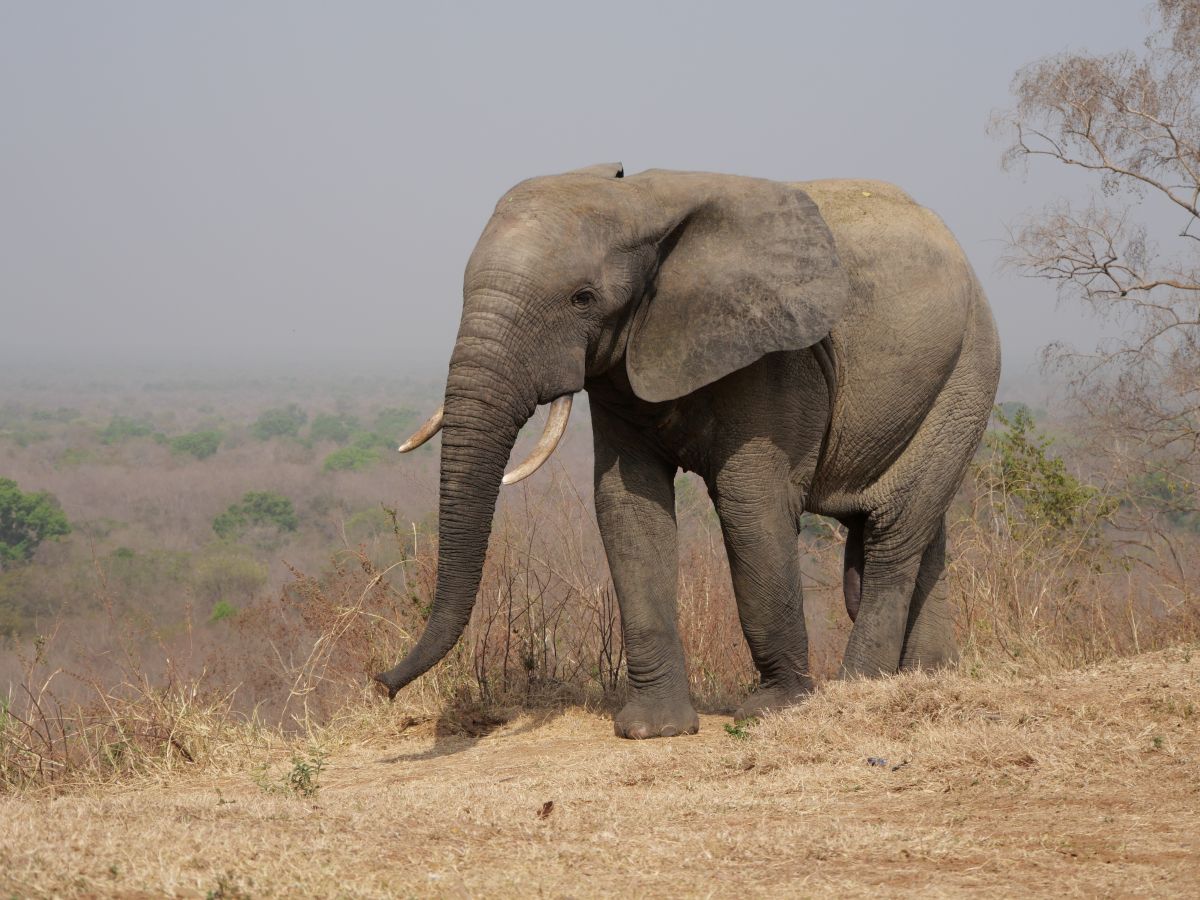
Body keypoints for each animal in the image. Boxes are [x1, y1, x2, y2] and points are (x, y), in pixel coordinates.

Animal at [376, 163, 1001, 739]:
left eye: (583, 298)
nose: (382, 685)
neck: (641, 204)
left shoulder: (773, 356)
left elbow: (752, 506)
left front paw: (775, 710)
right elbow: (627, 506)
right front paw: (653, 729)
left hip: (969, 371)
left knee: (894, 532)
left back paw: (860, 687)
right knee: (921, 532)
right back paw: (929, 676)